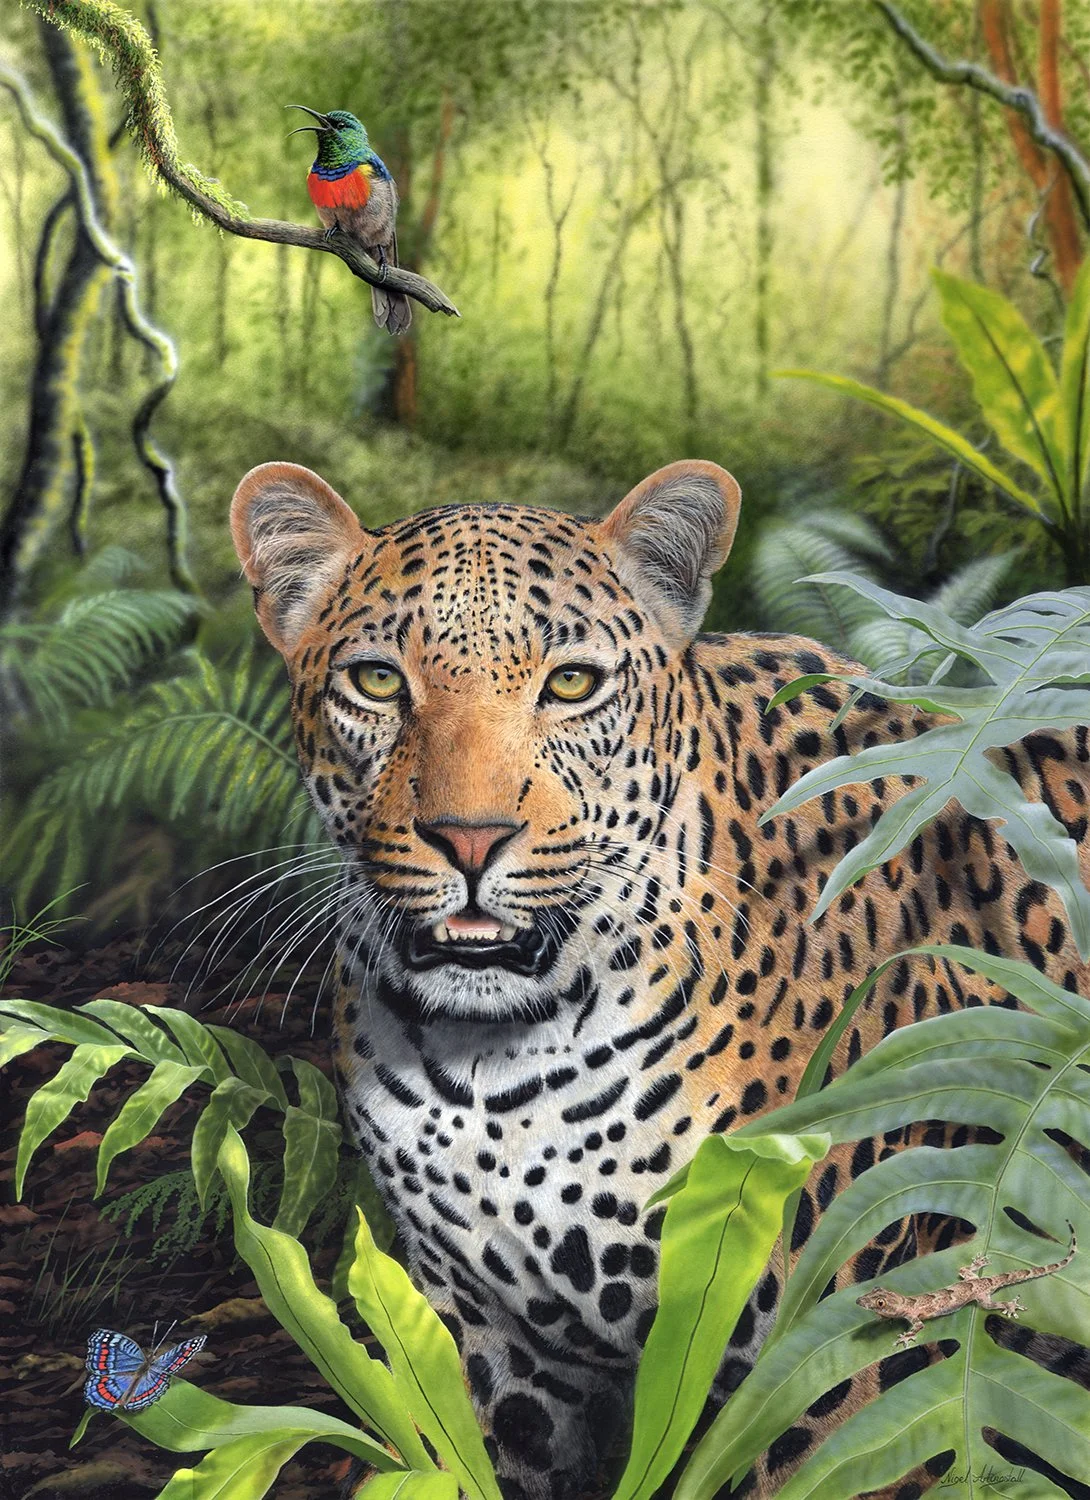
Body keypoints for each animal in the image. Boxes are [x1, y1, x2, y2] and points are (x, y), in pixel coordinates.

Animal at [230, 457, 1090, 1500]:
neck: (498, 1065)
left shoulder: (836, 1348)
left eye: (571, 683)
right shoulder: (490, 1346)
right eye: (377, 681)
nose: (470, 838)